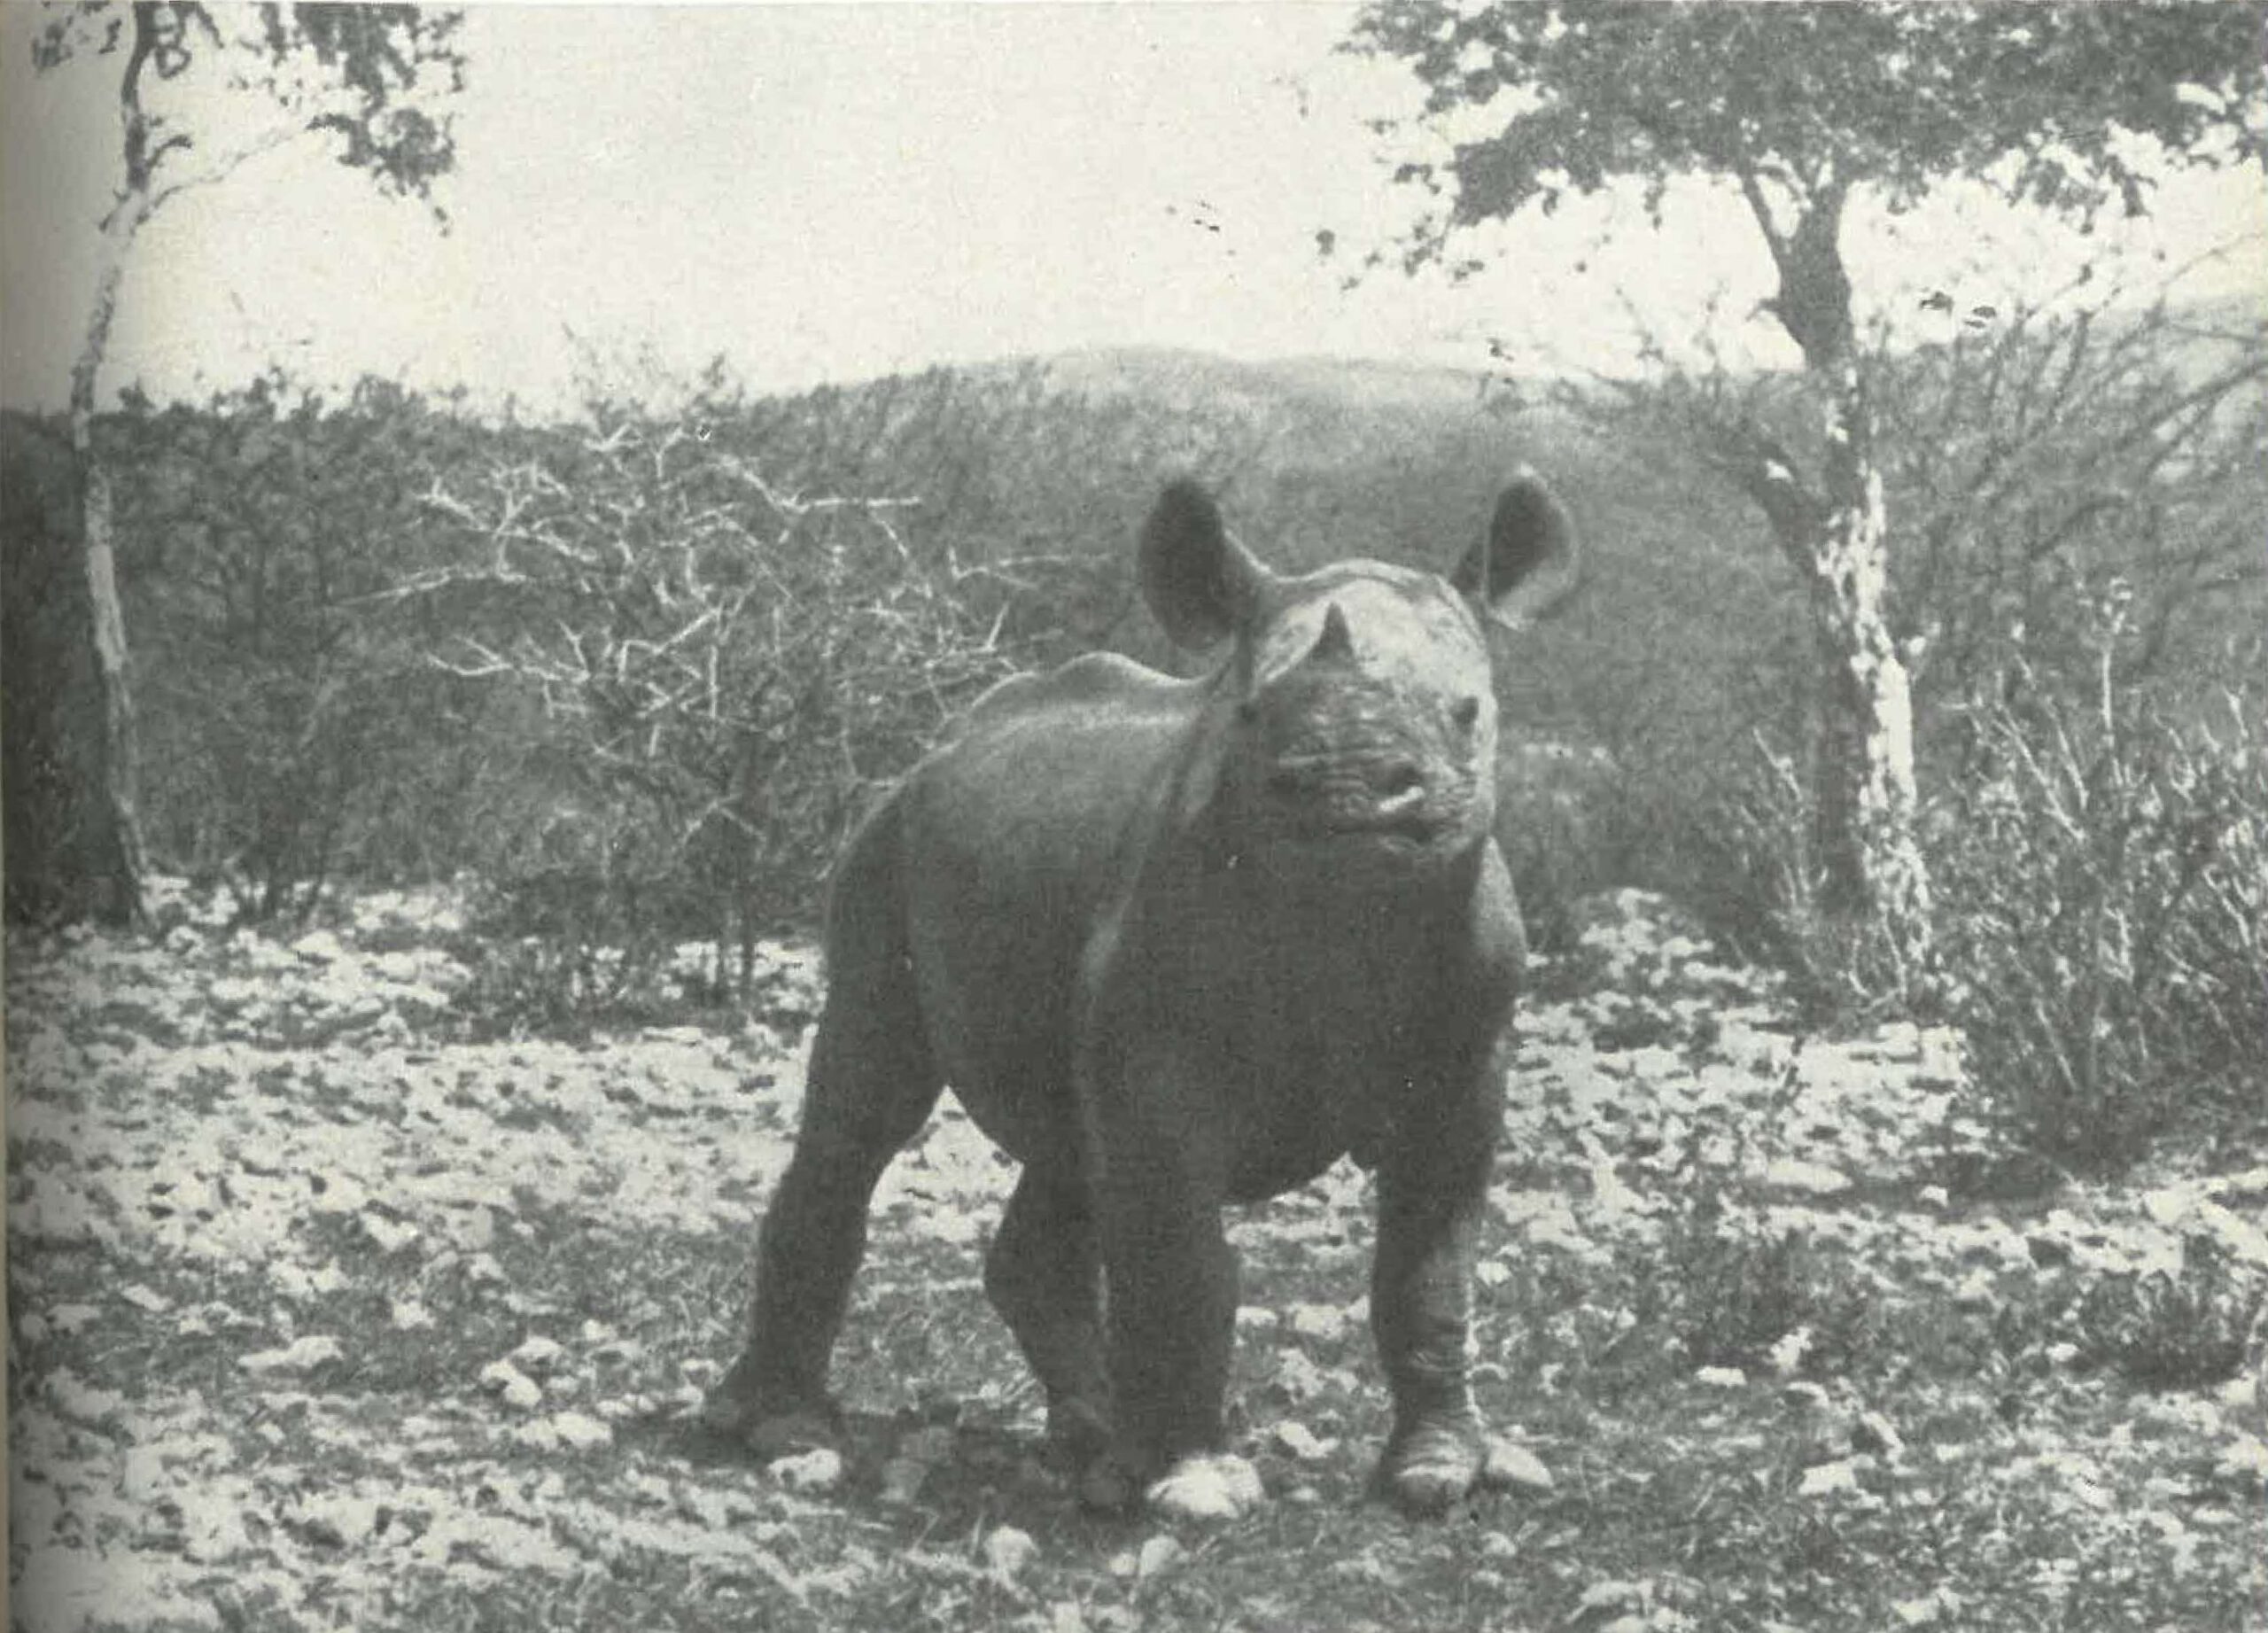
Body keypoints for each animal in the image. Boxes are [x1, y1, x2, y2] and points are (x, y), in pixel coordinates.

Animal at [704, 472, 1577, 1521]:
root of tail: (942, 744)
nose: (1347, 787)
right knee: (867, 1101)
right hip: (882, 842)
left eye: (1467, 711)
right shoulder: (1162, 1052)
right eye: (1249, 714)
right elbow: (1182, 1262)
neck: (1345, 907)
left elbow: (1430, 1264)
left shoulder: (1468, 1055)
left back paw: (1093, 1437)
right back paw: (782, 1427)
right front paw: (1196, 1483)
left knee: (1067, 1149)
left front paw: (1437, 1471)